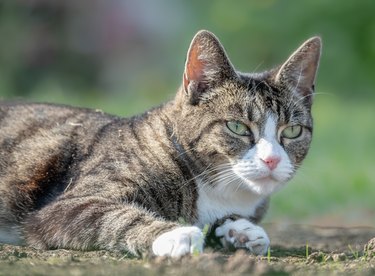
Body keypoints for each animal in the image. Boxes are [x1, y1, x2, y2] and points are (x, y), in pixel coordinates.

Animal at [0, 30, 322, 258]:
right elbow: (113, 215)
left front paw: (241, 230)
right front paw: (174, 234)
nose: (272, 160)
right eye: (237, 127)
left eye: (293, 131)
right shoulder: (64, 208)